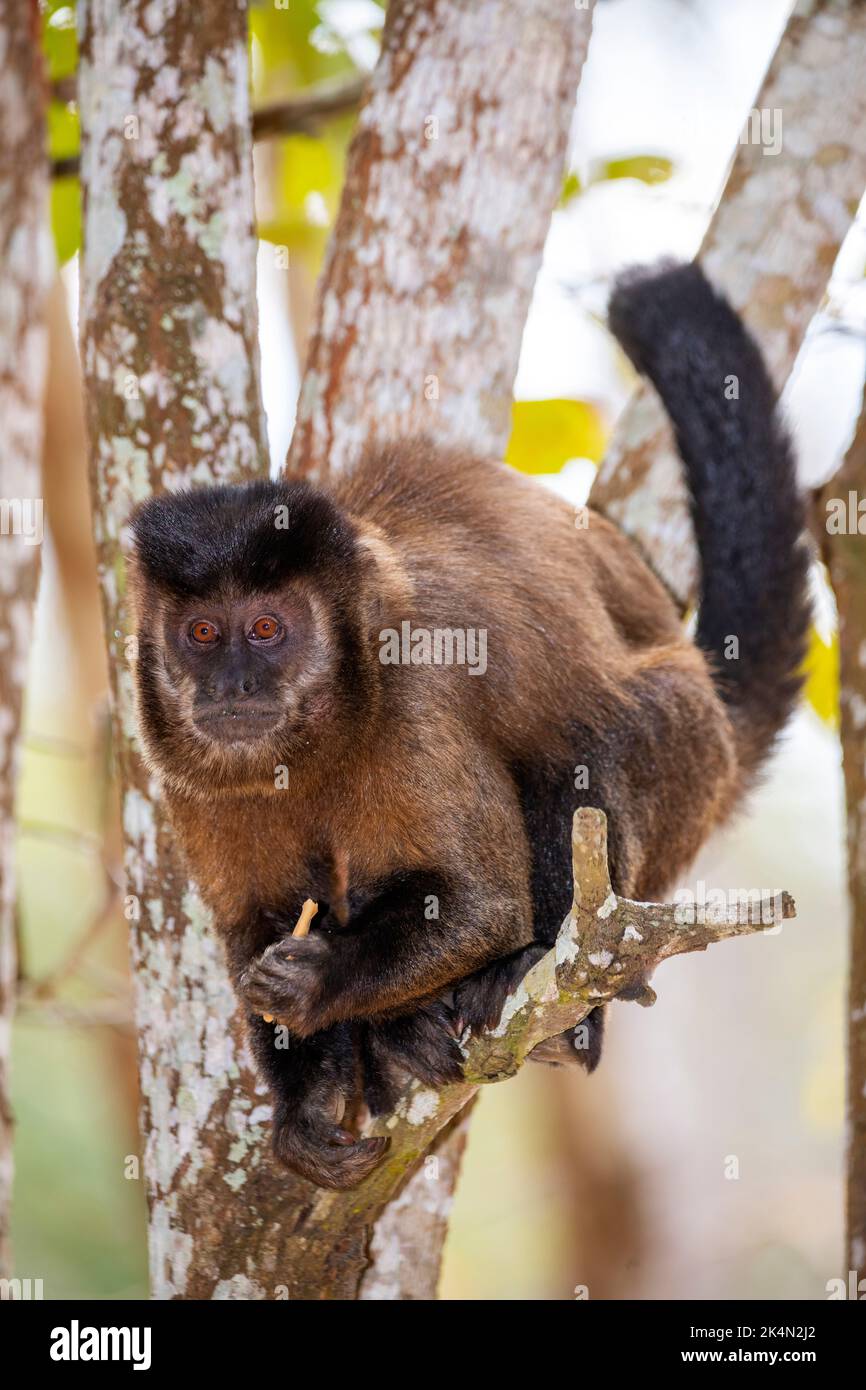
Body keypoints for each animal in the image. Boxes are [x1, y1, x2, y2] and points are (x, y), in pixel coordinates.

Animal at [128, 265, 811, 1189]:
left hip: (690, 760)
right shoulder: (191, 784)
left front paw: (318, 981)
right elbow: (257, 926)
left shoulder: (414, 698)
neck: (321, 736)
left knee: (597, 741)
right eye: (202, 633)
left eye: (266, 628)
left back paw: (552, 1002)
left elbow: (484, 906)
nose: (232, 681)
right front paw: (306, 1103)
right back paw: (396, 1042)